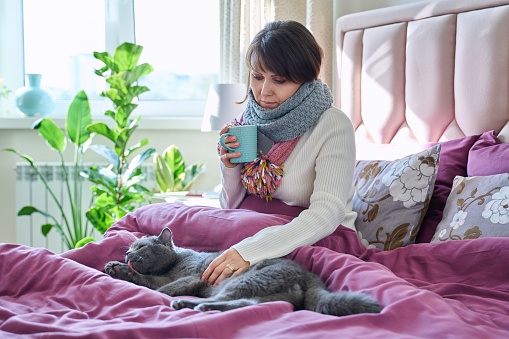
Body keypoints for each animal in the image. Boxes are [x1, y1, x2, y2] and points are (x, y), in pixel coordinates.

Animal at [103, 228, 380, 316]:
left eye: (141, 246)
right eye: (130, 248)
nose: (127, 255)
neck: (176, 261)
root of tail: (310, 276)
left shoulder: (190, 276)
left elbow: (157, 284)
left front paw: (153, 292)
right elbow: (146, 278)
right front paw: (113, 267)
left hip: (245, 280)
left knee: (233, 300)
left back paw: (189, 304)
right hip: (268, 291)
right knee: (249, 303)